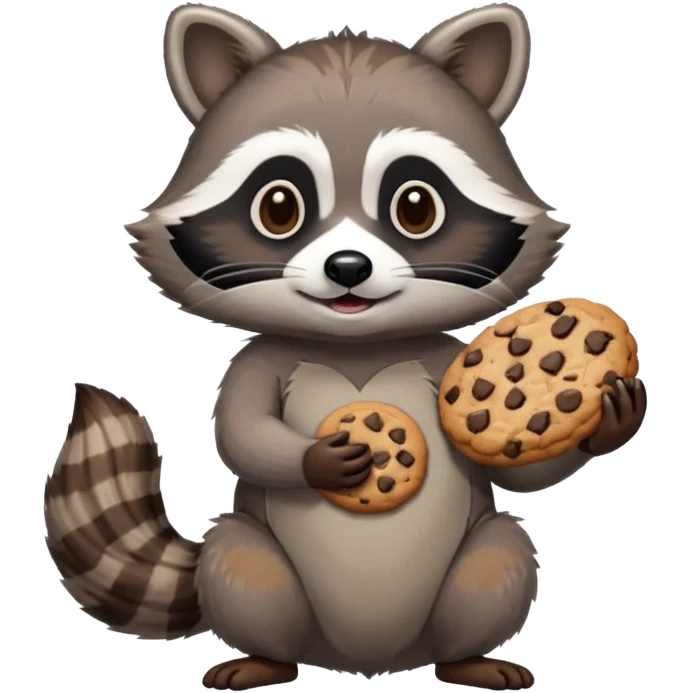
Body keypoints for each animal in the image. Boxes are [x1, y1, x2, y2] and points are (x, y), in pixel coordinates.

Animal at [43, 3, 646, 691]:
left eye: (417, 207)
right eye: (279, 206)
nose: (349, 267)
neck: (356, 344)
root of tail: (366, 661)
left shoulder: (446, 359)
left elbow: (516, 475)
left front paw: (610, 422)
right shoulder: (257, 360)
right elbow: (241, 433)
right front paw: (319, 458)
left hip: (481, 572)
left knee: (500, 557)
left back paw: (468, 658)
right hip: (249, 568)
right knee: (244, 569)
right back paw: (263, 659)